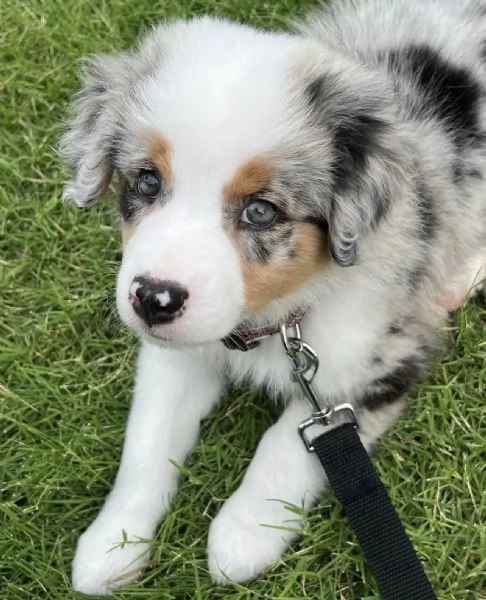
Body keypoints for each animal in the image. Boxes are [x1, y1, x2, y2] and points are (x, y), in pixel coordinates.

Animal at [60, 0, 486, 592]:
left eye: (260, 211)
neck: (270, 320)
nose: (153, 300)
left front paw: (244, 534)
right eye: (146, 181)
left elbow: (284, 446)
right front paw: (113, 542)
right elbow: (148, 438)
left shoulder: (382, 359)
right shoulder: (177, 354)